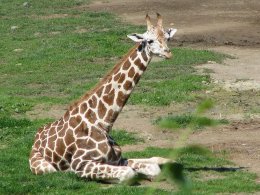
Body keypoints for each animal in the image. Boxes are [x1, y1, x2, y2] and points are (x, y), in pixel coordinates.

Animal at [29, 13, 178, 183]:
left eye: (167, 37)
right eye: (149, 40)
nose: (168, 53)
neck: (103, 122)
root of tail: (36, 138)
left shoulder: (117, 159)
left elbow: (153, 169)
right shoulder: (81, 163)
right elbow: (129, 173)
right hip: (44, 167)